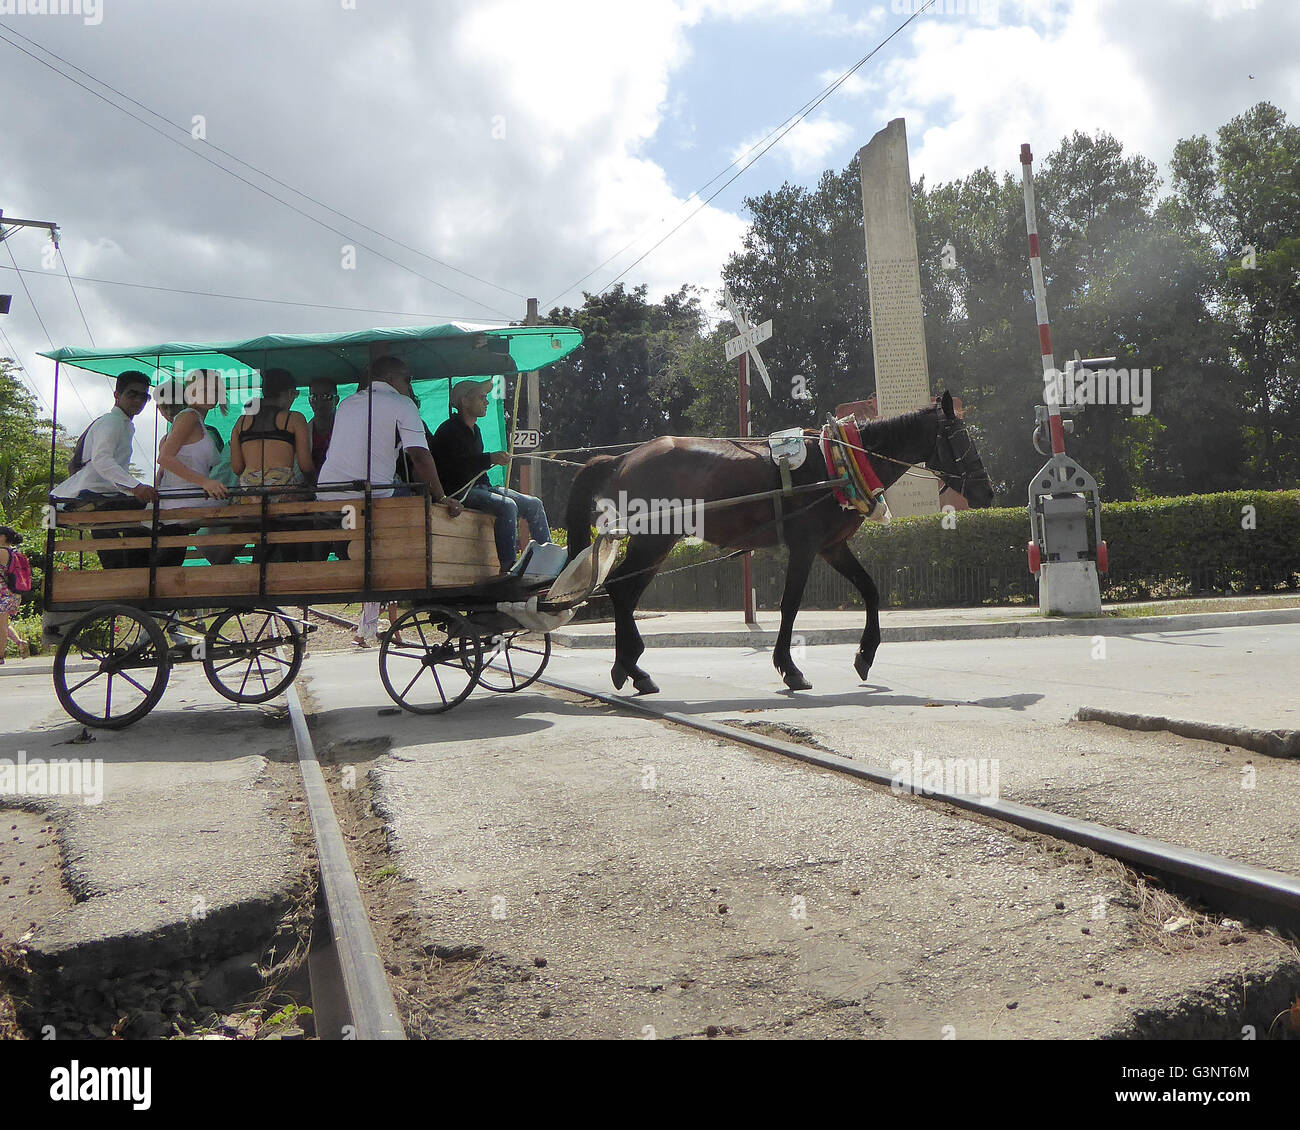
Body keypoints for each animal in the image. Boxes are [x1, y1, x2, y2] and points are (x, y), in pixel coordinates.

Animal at [566, 395, 993, 696]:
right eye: (960, 438)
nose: (987, 490)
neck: (839, 461)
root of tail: (623, 458)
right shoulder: (805, 545)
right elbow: (790, 604)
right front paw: (791, 669)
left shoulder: (832, 546)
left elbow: (871, 590)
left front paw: (865, 654)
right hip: (654, 540)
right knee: (622, 590)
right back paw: (631, 666)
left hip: (653, 543)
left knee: (624, 592)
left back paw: (629, 668)